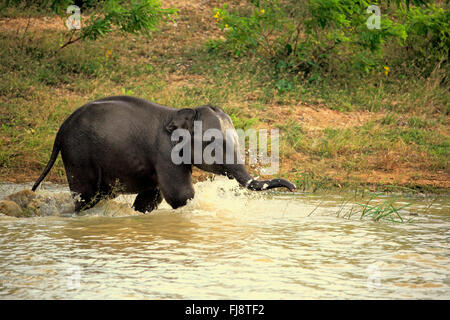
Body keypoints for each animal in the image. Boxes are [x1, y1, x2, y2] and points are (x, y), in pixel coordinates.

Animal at [33, 96, 298, 214]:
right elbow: (180, 195)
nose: (294, 187)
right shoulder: (165, 153)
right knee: (87, 195)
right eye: (213, 144)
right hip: (77, 154)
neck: (182, 112)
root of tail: (60, 130)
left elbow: (151, 198)